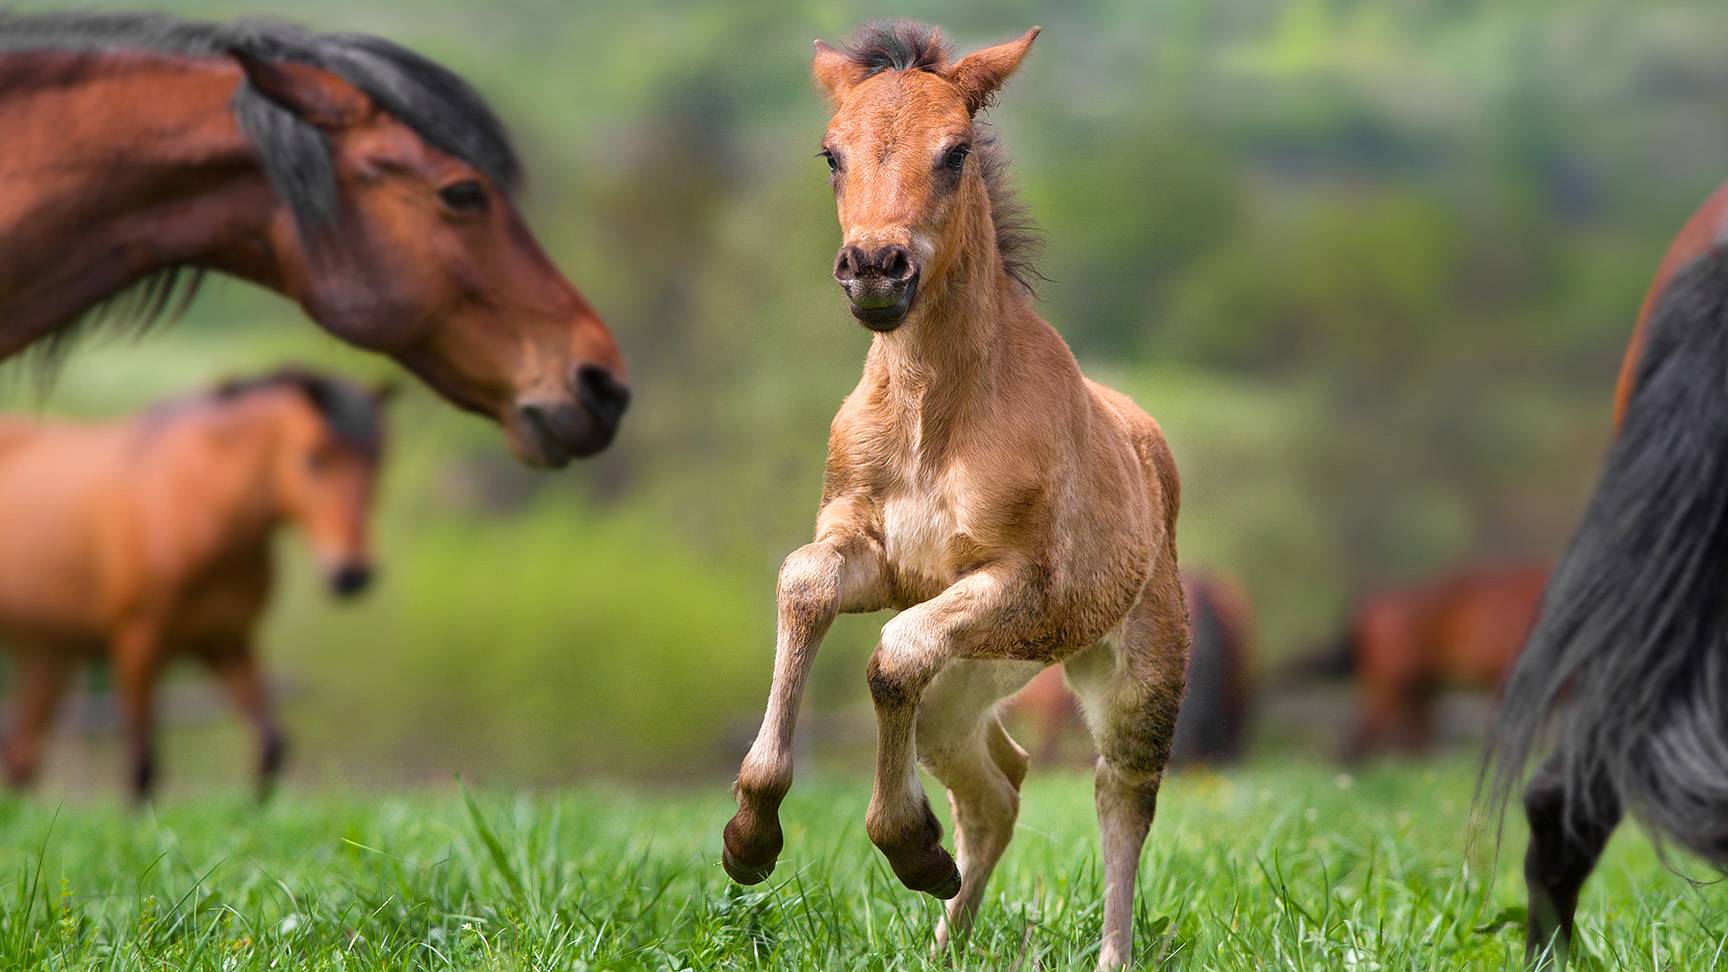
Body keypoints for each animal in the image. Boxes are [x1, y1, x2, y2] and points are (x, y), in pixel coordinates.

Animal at [0, 369, 389, 800]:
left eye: (378, 459)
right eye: (314, 457)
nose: (352, 574)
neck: (206, 509)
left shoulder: (226, 640)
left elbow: (271, 744)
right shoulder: (137, 641)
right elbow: (142, 763)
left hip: (45, 652)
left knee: (21, 754)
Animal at [719, 23, 1190, 969]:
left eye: (957, 151)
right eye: (831, 152)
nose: (875, 267)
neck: (933, 413)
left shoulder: (1025, 586)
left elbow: (892, 653)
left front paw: (905, 843)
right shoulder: (878, 556)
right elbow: (803, 585)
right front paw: (752, 838)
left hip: (1132, 664)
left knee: (1121, 791)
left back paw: (1104, 950)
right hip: (973, 681)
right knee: (999, 783)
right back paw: (944, 931)